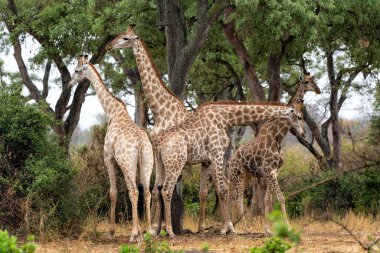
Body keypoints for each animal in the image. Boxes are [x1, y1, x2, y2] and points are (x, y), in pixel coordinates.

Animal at [68, 54, 153, 241]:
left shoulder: (109, 158)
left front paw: (111, 231)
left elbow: (113, 192)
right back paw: (150, 232)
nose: (69, 83)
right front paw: (137, 230)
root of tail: (140, 143)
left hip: (128, 163)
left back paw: (134, 234)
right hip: (147, 163)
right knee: (147, 192)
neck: (112, 112)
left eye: (76, 70)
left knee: (134, 191)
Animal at [154, 101, 300, 237]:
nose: (300, 131)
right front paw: (230, 228)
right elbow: (223, 190)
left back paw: (154, 229)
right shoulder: (217, 152)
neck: (225, 118)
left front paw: (204, 228)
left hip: (160, 165)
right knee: (166, 190)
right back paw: (169, 231)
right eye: (298, 116)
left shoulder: (206, 161)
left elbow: (204, 192)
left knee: (156, 190)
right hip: (176, 163)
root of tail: (159, 143)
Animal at [199, 72, 320, 232]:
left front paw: (269, 228)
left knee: (231, 195)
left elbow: (268, 199)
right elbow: (280, 197)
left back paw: (231, 225)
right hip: (238, 174)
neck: (277, 138)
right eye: (306, 82)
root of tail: (231, 160)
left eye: (313, 80)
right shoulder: (269, 171)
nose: (318, 90)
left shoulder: (275, 171)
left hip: (246, 176)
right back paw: (238, 227)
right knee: (236, 197)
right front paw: (286, 227)